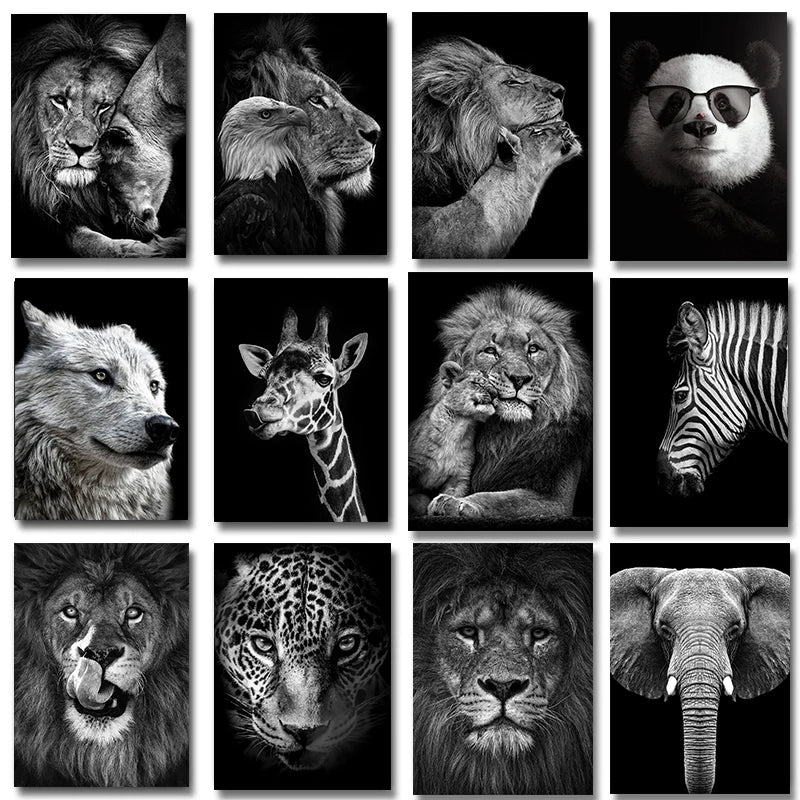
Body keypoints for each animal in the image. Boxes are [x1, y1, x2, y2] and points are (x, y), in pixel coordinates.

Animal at [408, 361, 497, 516]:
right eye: (476, 383)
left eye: (495, 387)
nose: (495, 394)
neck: (459, 428)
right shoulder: (412, 463)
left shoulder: (459, 477)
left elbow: (453, 494)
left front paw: (444, 505)